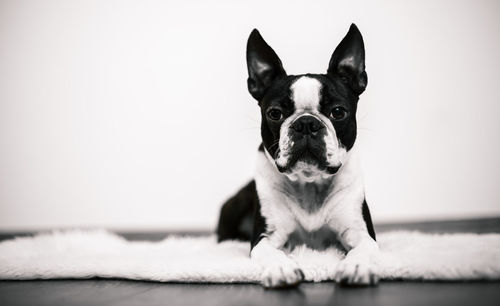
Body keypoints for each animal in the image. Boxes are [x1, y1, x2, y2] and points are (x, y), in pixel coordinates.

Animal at [216, 24, 378, 290]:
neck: (309, 184)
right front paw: (281, 268)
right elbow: (269, 252)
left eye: (338, 112)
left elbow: (364, 248)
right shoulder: (266, 236)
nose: (306, 123)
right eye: (275, 113)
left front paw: (357, 266)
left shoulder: (359, 230)